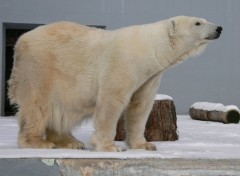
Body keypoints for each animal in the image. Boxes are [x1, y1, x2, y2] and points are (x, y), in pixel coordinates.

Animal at [8, 16, 222, 151]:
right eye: (197, 22)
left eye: (203, 19)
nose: (219, 28)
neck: (148, 48)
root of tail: (21, 39)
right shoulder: (122, 63)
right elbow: (112, 100)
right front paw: (110, 147)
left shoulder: (150, 76)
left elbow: (140, 106)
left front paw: (145, 145)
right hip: (41, 70)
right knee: (37, 106)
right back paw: (38, 142)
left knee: (60, 110)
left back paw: (70, 142)